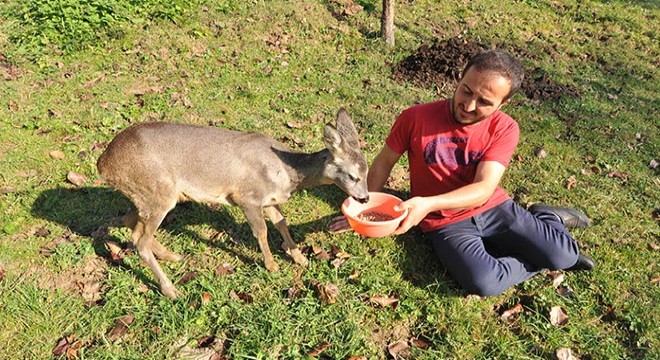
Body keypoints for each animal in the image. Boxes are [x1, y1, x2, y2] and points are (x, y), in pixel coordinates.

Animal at [95, 107, 368, 298]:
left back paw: (171, 256)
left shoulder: (269, 199)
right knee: (140, 240)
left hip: (146, 196)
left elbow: (281, 222)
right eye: (352, 176)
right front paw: (271, 265)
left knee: (131, 224)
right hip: (158, 191)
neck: (286, 172)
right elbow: (262, 231)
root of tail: (103, 162)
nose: (364, 197)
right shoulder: (248, 197)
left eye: (365, 172)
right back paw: (170, 289)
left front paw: (299, 257)